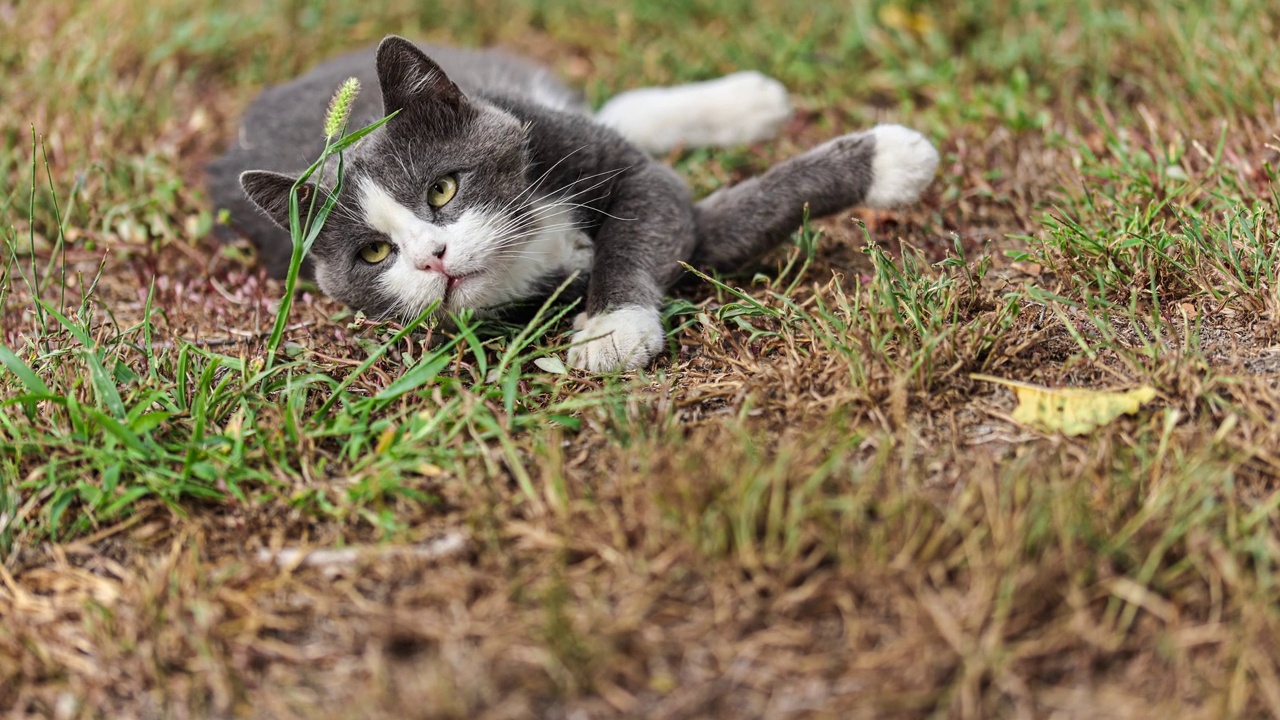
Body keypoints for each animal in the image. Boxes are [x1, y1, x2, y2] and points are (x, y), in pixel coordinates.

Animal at [204, 35, 936, 368]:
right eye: (375, 253)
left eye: (443, 187)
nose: (433, 258)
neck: (532, 233)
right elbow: (727, 221)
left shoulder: (628, 178)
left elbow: (654, 215)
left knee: (622, 112)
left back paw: (749, 100)